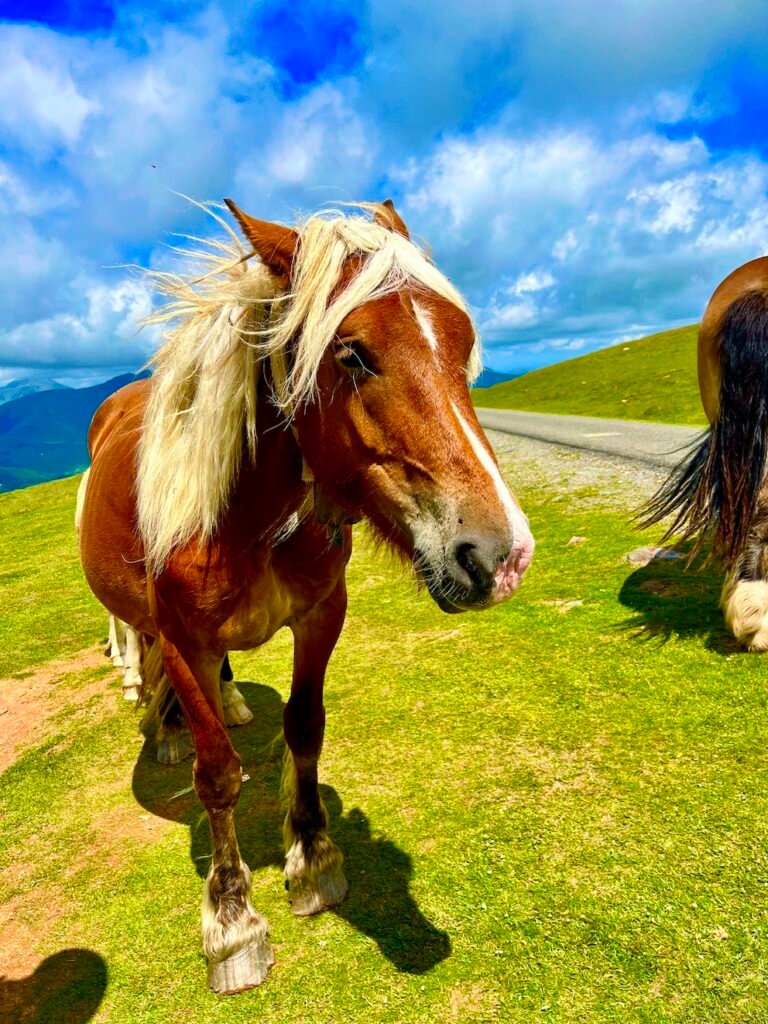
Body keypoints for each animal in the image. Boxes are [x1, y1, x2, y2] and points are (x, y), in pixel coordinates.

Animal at [76, 199, 536, 991]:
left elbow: (306, 728)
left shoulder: (323, 615)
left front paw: (314, 860)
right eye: (352, 353)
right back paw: (163, 722)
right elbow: (217, 774)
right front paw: (232, 921)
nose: (500, 554)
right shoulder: (185, 640)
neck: (247, 518)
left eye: (463, 342)